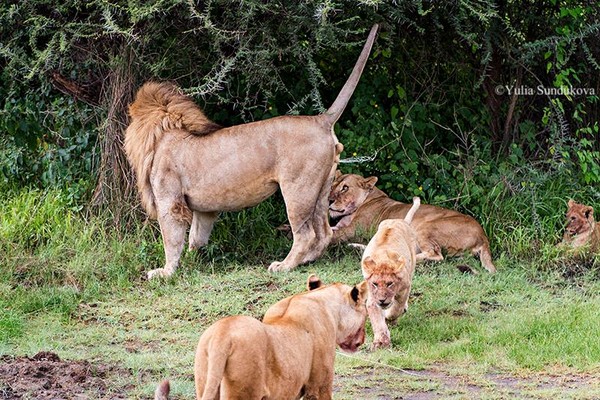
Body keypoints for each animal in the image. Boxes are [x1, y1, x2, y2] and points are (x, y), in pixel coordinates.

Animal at [125, 25, 380, 278]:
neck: (165, 133)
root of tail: (321, 120)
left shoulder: (170, 202)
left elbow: (172, 239)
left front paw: (166, 271)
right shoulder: (204, 209)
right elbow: (196, 238)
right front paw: (193, 261)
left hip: (298, 190)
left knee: (305, 234)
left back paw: (284, 265)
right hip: (323, 189)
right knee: (324, 232)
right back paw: (306, 261)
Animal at [152, 276, 368, 400]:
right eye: (366, 312)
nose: (363, 340)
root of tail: (222, 334)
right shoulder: (318, 387)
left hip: (205, 381)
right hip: (243, 392)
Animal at [330, 172, 494, 272]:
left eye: (345, 188)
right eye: (332, 185)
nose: (329, 200)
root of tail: (483, 235)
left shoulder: (354, 229)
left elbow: (335, 235)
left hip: (425, 227)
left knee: (436, 255)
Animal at [360, 198, 422, 348]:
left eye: (389, 284)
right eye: (375, 284)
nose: (382, 300)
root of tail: (400, 220)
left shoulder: (405, 288)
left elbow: (396, 308)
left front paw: (390, 317)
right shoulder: (372, 298)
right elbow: (378, 320)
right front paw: (381, 341)